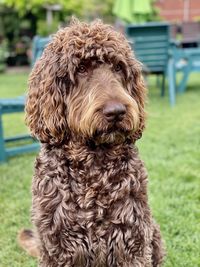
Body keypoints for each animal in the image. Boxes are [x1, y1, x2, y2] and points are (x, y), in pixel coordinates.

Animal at [19, 19, 166, 267]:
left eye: (118, 67)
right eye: (81, 68)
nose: (116, 112)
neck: (93, 164)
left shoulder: (132, 241)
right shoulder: (57, 247)